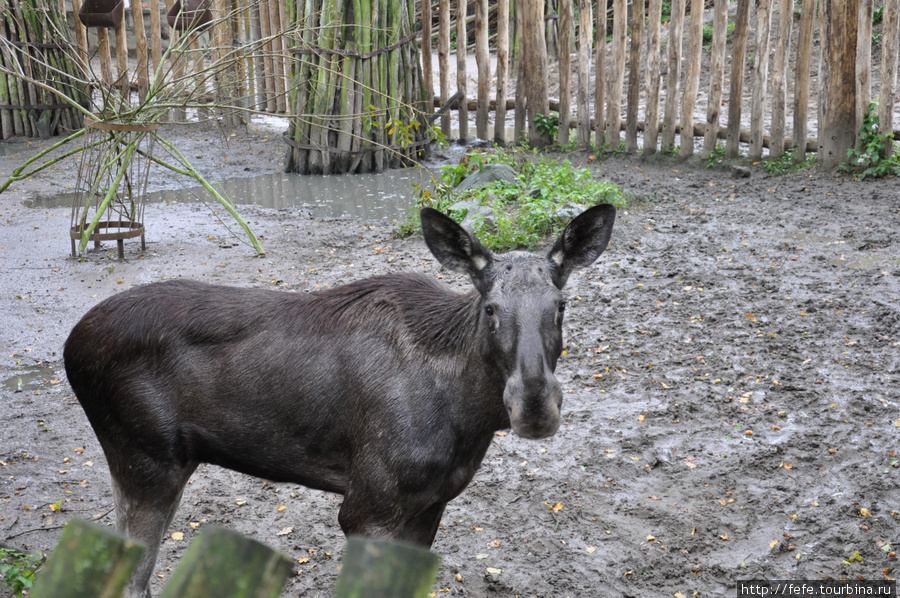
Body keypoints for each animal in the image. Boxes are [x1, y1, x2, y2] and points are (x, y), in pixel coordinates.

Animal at [63, 204, 616, 596]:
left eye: (561, 305)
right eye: (491, 308)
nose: (535, 406)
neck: (466, 419)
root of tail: (70, 344)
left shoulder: (430, 503)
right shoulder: (368, 507)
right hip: (147, 464)